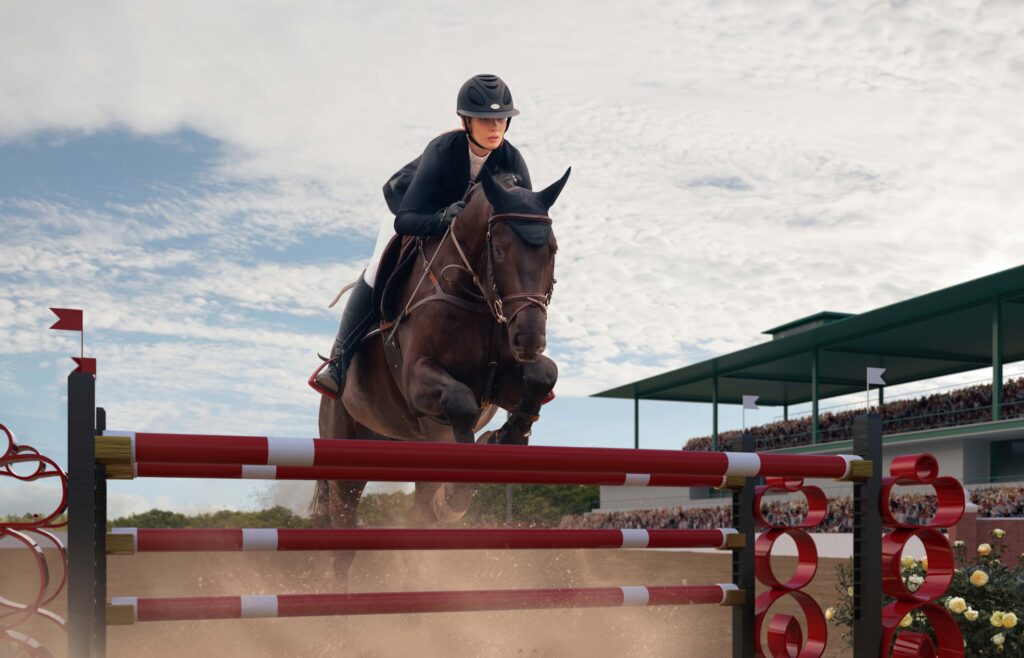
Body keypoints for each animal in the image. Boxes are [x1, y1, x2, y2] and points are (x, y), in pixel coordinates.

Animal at [311, 165, 571, 582]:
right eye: (499, 249)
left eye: (553, 250)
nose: (531, 338)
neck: (475, 293)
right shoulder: (420, 381)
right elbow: (460, 402)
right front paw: (456, 495)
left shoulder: (503, 381)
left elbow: (543, 376)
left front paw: (506, 438)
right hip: (346, 451)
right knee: (342, 533)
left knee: (418, 515)